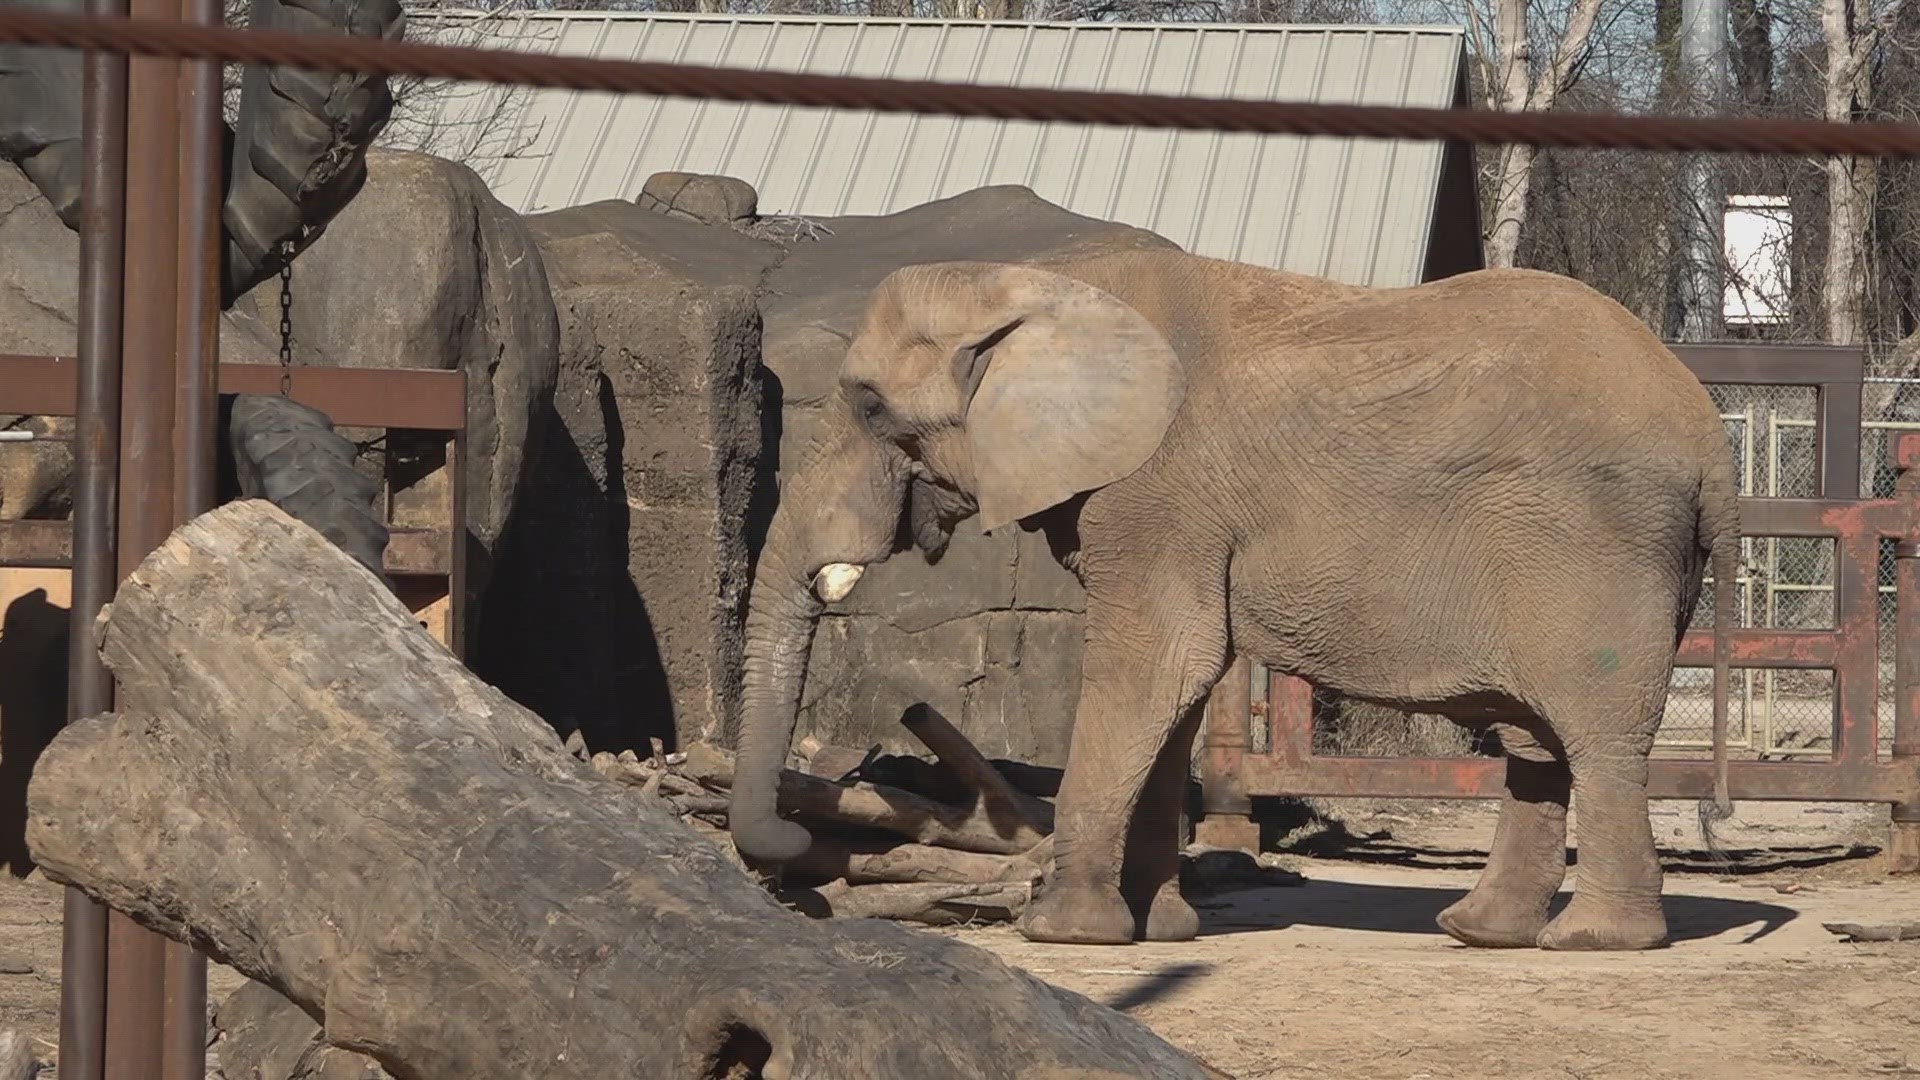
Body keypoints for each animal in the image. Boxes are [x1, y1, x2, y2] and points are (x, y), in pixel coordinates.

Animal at [721, 245, 1743, 949]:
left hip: (1597, 547)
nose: (792, 846)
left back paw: (1594, 941)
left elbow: (1159, 662)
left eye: (868, 407)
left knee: (1595, 729)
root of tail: (1711, 436)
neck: (1046, 282)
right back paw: (1479, 932)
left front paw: (1062, 932)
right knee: (1539, 739)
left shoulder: (1155, 488)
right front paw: (1161, 929)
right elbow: (1177, 683)